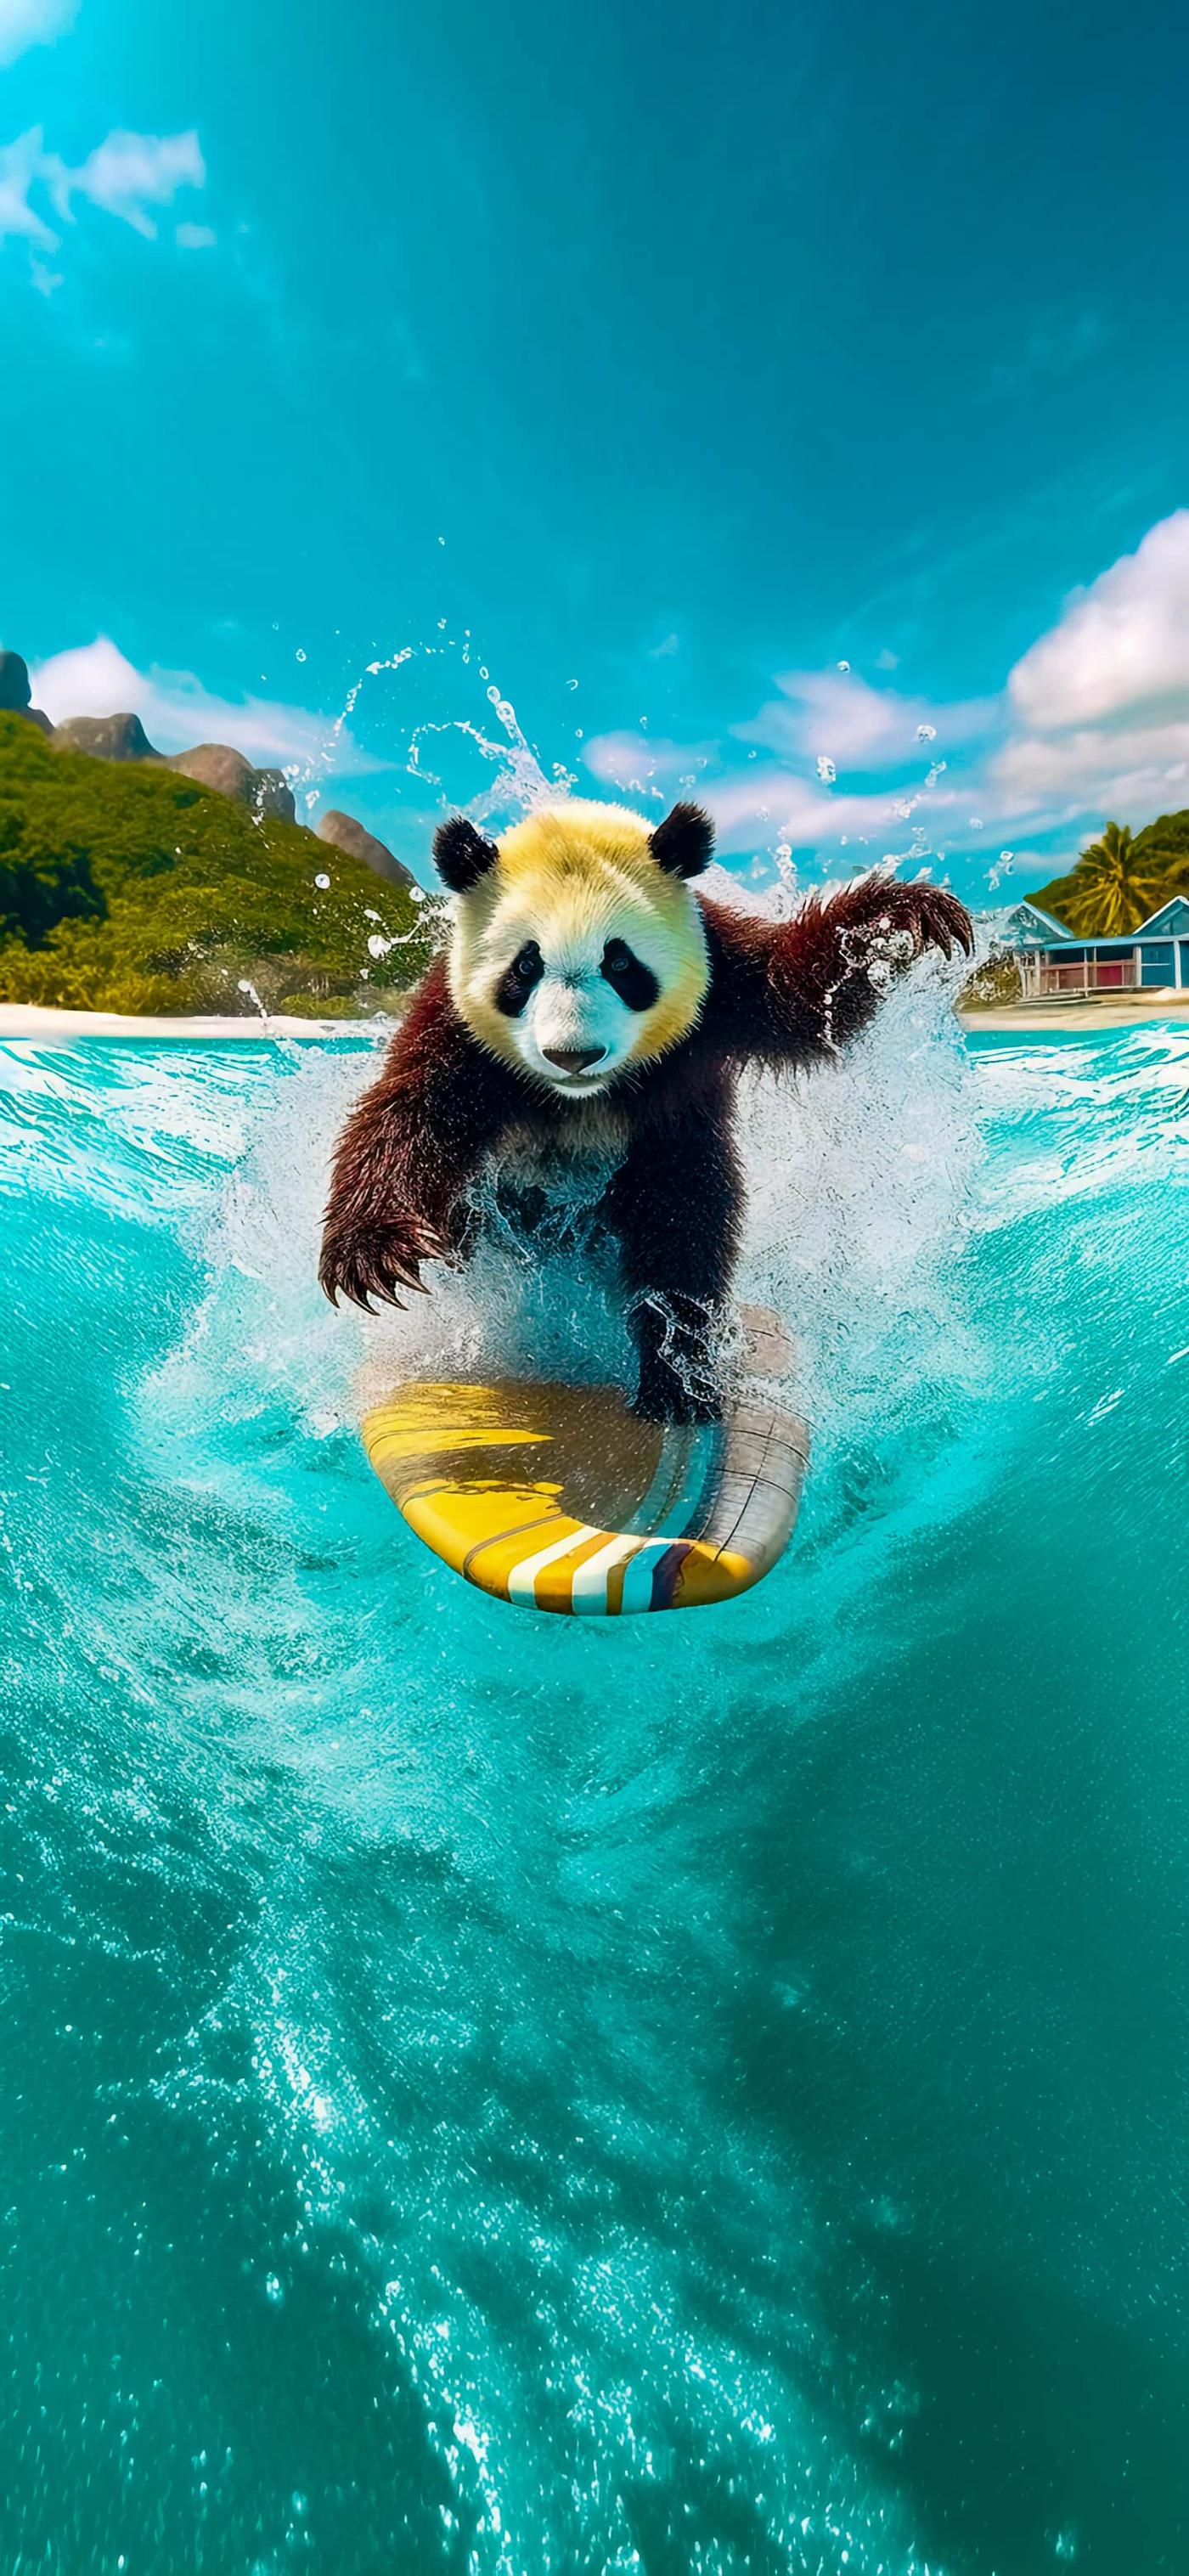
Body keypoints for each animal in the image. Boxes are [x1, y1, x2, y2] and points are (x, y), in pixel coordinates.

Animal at [319, 799, 972, 1420]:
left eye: (621, 963)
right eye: (526, 966)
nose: (573, 1055)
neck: (584, 1098)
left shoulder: (718, 971)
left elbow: (799, 997)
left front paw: (896, 921)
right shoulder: (456, 1020)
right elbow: (412, 1109)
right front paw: (373, 1253)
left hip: (659, 1168)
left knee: (682, 1241)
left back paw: (678, 1377)